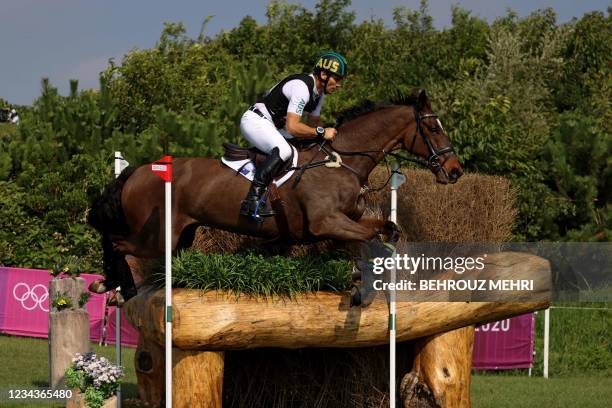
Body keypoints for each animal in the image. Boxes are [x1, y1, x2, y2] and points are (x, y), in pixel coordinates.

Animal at [88, 91, 462, 304]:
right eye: (432, 128)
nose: (455, 170)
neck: (342, 161)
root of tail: (137, 171)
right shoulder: (326, 223)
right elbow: (371, 241)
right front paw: (363, 288)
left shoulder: (347, 222)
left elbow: (384, 231)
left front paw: (360, 282)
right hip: (156, 238)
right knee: (117, 242)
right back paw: (117, 288)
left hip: (182, 236)